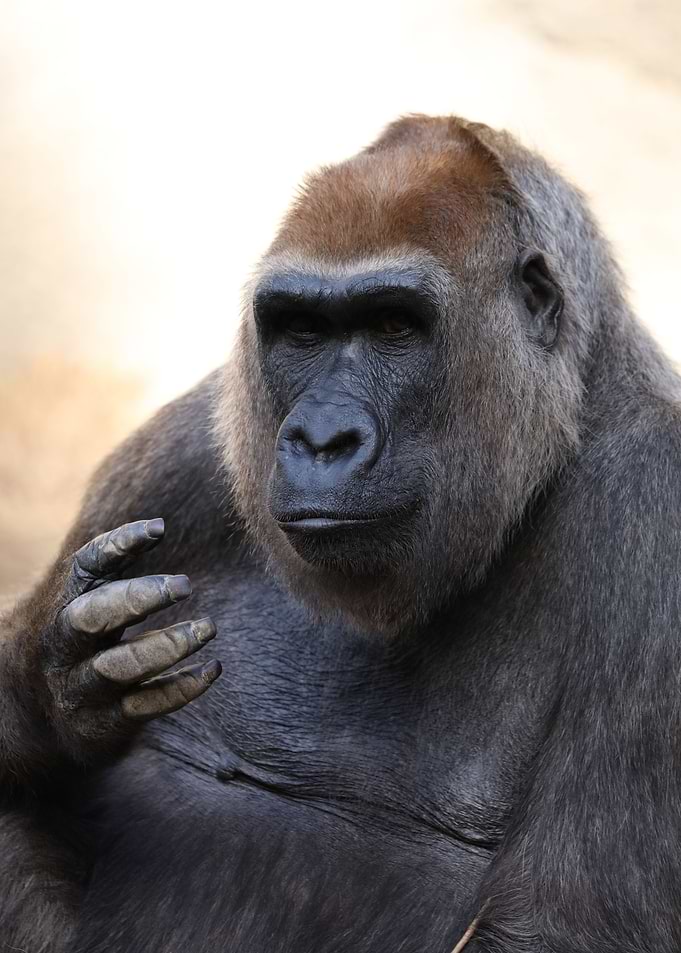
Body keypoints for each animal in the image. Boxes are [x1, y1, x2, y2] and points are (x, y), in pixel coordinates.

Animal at [1, 114, 681, 953]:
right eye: (302, 329)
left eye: (393, 325)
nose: (320, 438)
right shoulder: (184, 447)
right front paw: (52, 680)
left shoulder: (657, 506)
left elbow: (557, 923)